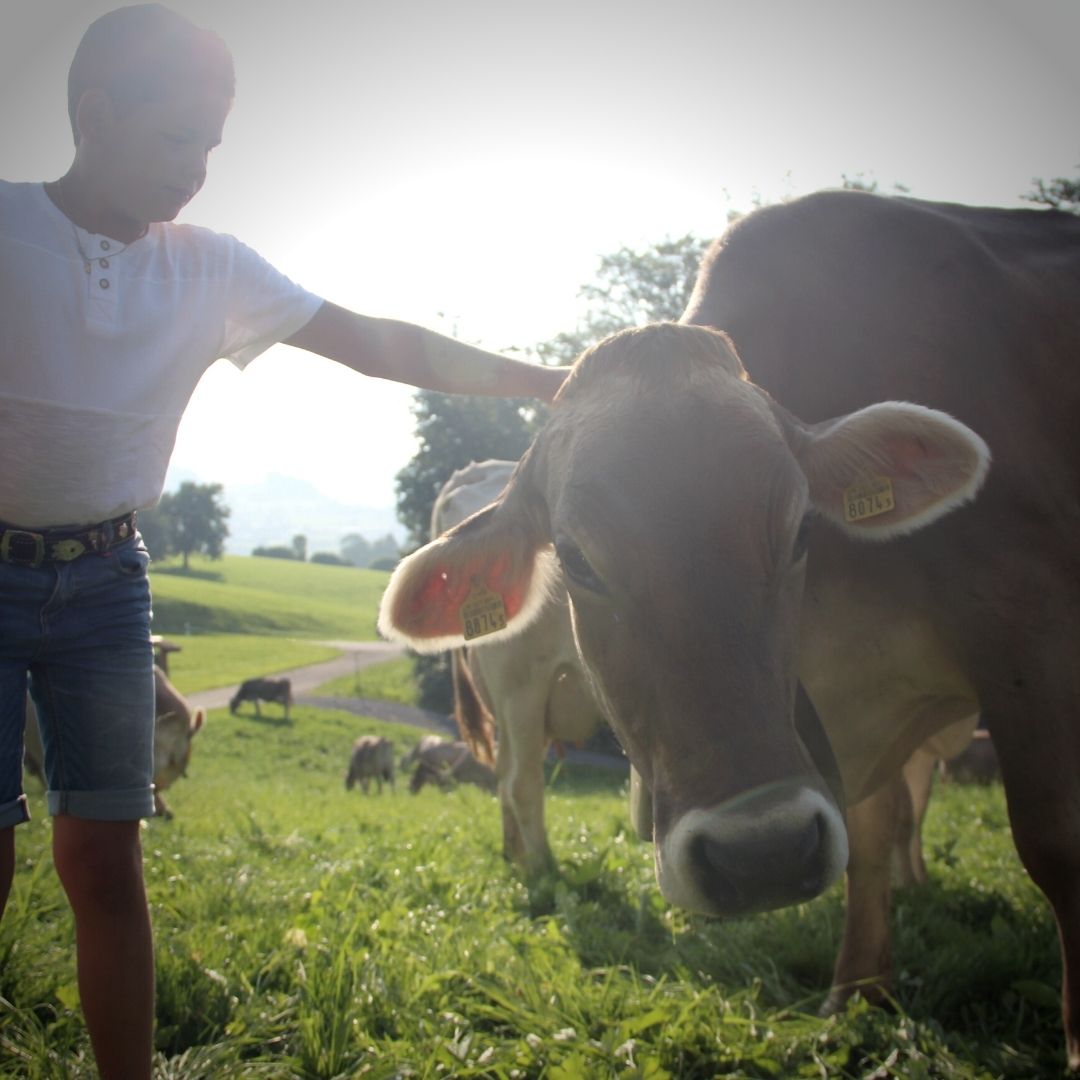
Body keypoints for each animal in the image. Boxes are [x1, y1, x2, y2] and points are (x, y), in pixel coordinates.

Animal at [378, 190, 1080, 1067]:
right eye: (573, 558)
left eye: (803, 529)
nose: (762, 855)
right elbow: (1010, 839)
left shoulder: (1014, 645)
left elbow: (927, 832)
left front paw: (860, 991)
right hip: (515, 687)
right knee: (520, 782)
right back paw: (540, 875)